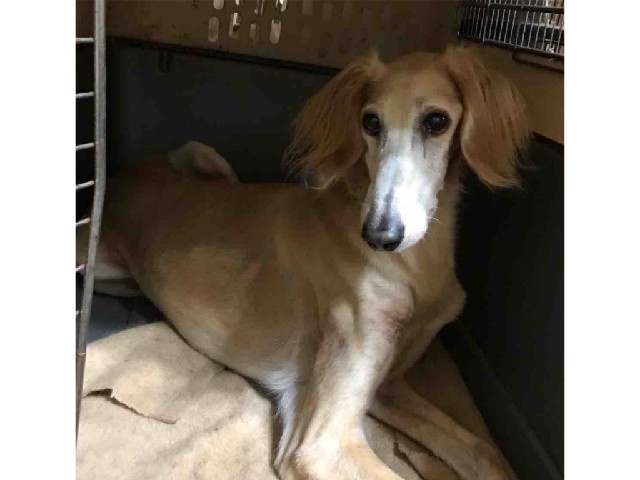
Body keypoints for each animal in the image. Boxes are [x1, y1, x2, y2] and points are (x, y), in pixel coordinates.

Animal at [78, 46, 529, 480]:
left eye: (437, 121)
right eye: (370, 122)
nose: (379, 236)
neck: (416, 269)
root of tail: (118, 178)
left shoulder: (388, 386)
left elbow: (485, 452)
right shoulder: (323, 446)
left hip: (206, 160)